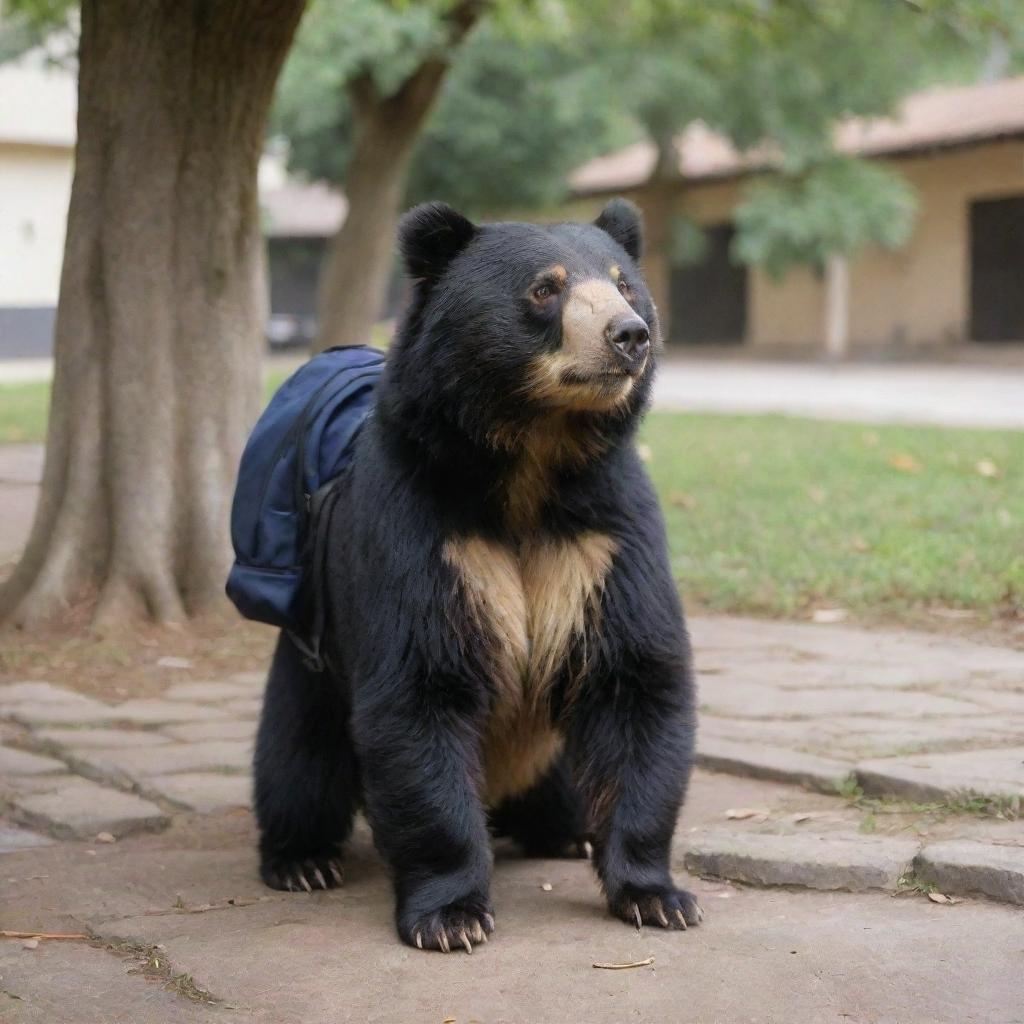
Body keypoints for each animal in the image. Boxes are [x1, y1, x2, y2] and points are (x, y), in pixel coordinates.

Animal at [253, 199, 704, 950]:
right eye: (545, 289)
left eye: (625, 285)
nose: (629, 336)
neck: (532, 460)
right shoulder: (419, 525)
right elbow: (418, 685)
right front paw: (451, 916)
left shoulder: (603, 533)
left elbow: (636, 680)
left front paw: (657, 896)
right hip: (313, 657)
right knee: (298, 754)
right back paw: (301, 859)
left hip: (550, 748)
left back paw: (568, 833)